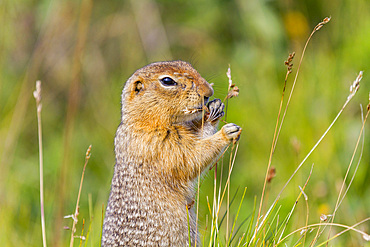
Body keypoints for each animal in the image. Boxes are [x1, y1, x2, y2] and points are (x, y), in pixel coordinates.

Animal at [101, 60, 241, 247]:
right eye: (167, 81)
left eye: (188, 64)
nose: (208, 92)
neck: (146, 121)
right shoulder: (159, 145)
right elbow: (189, 158)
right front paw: (226, 133)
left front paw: (215, 108)